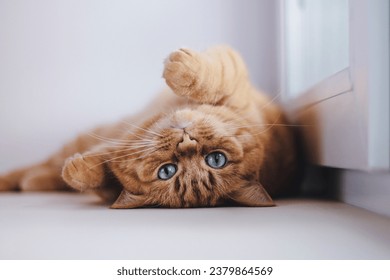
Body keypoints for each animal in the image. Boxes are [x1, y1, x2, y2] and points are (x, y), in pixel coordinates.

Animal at [0, 46, 302, 208]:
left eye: (215, 160)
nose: (186, 141)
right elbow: (216, 76)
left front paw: (79, 171)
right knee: (37, 166)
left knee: (44, 171)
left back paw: (33, 182)